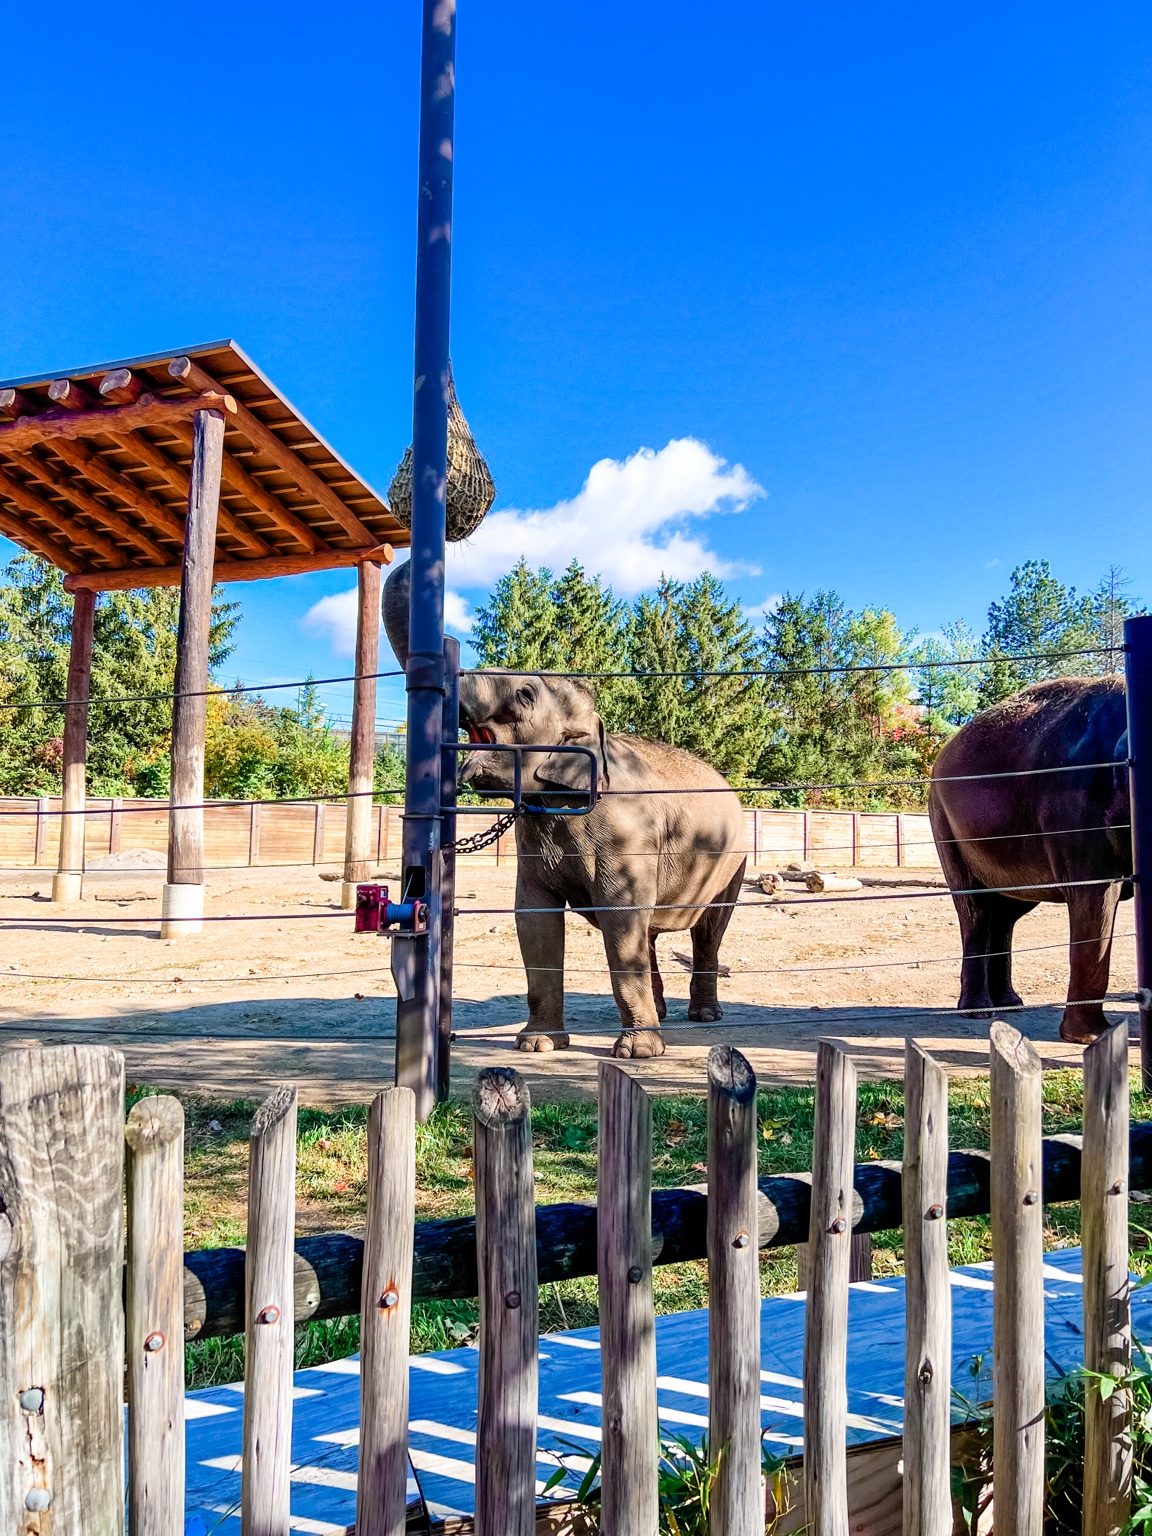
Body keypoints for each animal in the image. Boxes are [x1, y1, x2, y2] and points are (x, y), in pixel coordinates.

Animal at [383, 560, 747, 1058]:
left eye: (524, 696)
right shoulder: (534, 840)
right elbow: (533, 920)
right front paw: (537, 1044)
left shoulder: (627, 835)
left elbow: (620, 919)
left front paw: (637, 1053)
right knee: (650, 931)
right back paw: (661, 1012)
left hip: (731, 863)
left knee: (707, 928)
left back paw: (704, 1016)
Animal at [927, 676, 1132, 1043]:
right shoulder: (1076, 809)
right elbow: (1095, 897)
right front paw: (1090, 1038)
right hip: (945, 825)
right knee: (975, 909)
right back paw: (979, 1011)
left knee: (1004, 913)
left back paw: (1010, 1005)